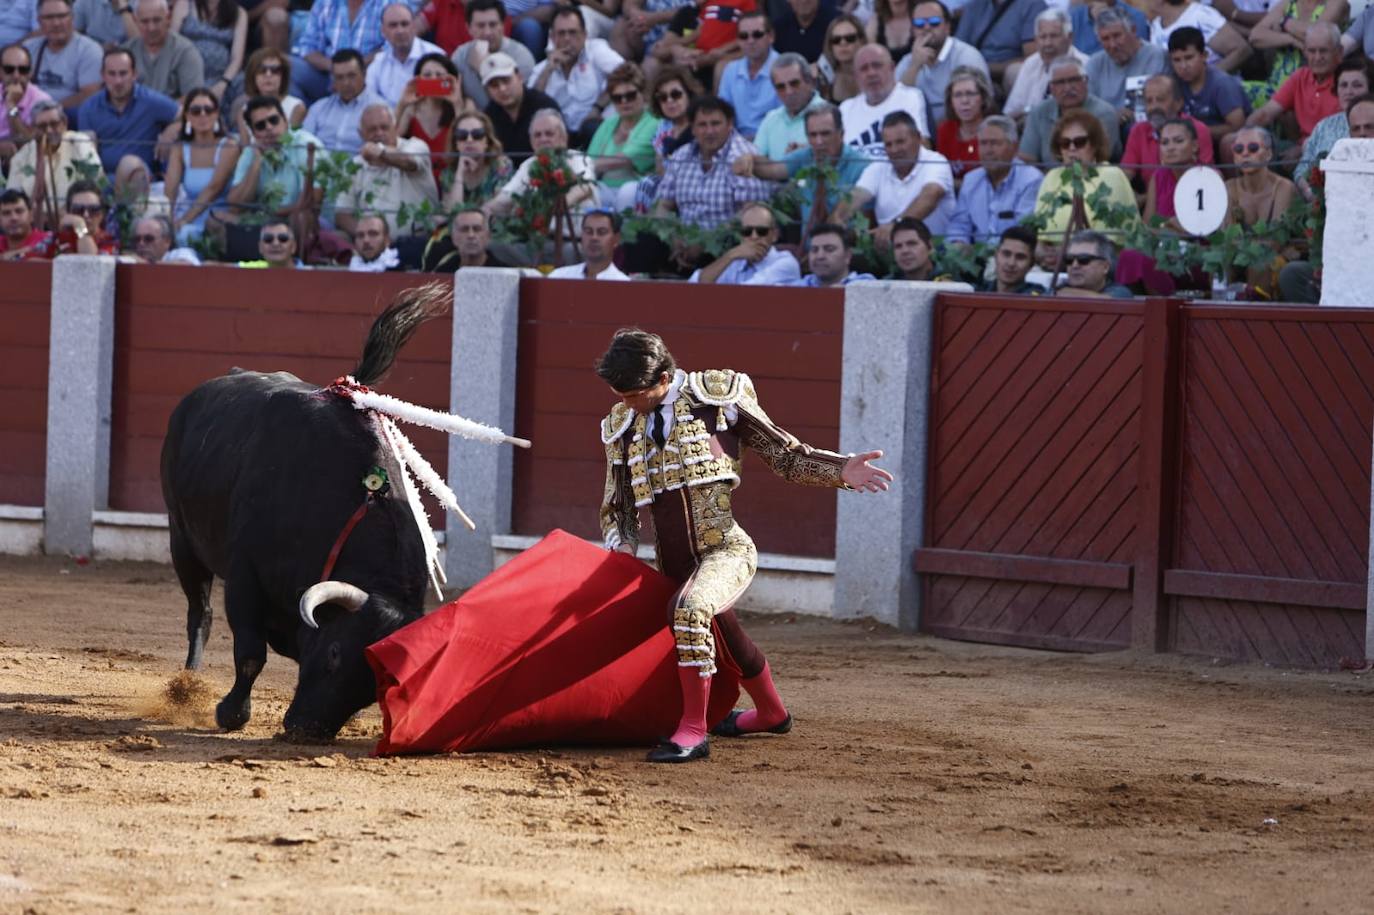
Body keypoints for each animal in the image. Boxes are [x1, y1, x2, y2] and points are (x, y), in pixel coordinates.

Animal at [162, 285, 445, 741]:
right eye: (334, 653)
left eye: (378, 684)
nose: (306, 728)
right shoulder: (245, 576)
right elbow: (249, 653)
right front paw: (231, 713)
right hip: (181, 538)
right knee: (199, 614)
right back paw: (187, 685)